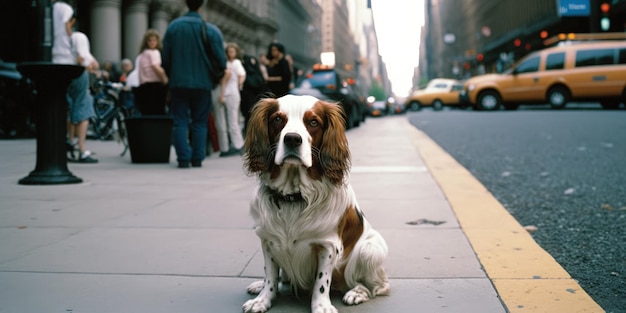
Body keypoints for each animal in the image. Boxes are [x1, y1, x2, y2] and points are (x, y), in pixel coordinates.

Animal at [241, 95, 388, 312]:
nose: (292, 138)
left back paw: (357, 293)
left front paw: (321, 306)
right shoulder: (268, 240)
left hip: (370, 249)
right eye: (277, 119)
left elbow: (321, 282)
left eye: (313, 122)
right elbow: (271, 276)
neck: (294, 196)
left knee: (375, 286)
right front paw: (263, 299)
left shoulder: (327, 245)